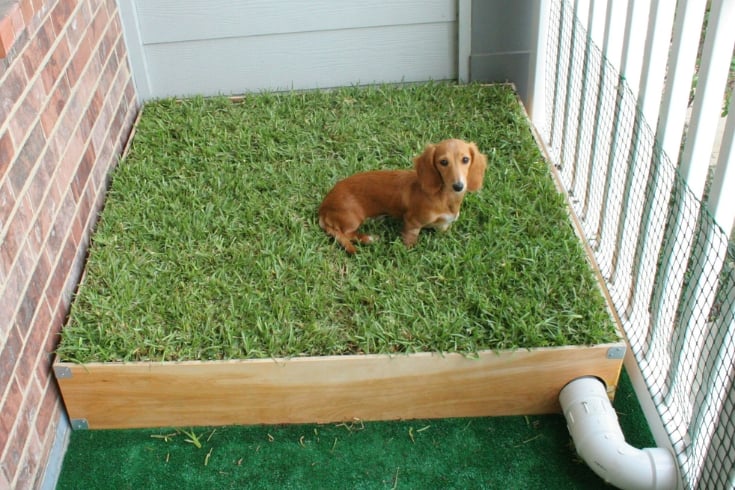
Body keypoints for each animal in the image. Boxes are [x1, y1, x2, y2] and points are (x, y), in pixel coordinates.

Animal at [318, 138, 486, 253]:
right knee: (346, 234)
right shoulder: (412, 222)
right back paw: (368, 238)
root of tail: (323, 209)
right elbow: (410, 240)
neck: (443, 197)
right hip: (353, 218)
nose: (458, 186)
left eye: (465, 159)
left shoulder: (444, 225)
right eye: (443, 162)